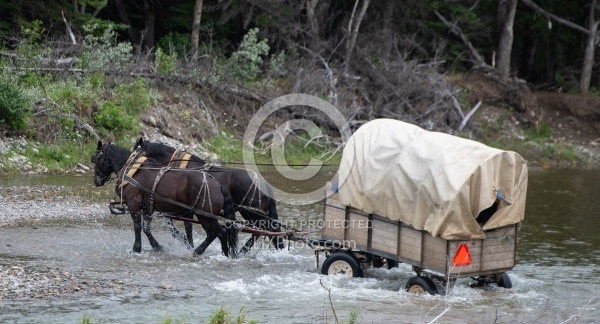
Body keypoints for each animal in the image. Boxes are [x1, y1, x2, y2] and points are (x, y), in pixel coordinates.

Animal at [90, 140, 238, 256]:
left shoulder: (134, 205)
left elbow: (137, 227)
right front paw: (157, 246)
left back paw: (217, 253)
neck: (132, 170)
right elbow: (146, 228)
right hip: (203, 215)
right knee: (213, 234)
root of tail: (218, 185)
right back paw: (202, 251)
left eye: (96, 159)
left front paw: (136, 248)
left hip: (205, 215)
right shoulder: (147, 207)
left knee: (221, 233)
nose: (96, 181)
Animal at [135, 137, 284, 251]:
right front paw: (188, 244)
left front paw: (186, 243)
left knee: (265, 229)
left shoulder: (183, 209)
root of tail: (264, 183)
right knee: (264, 230)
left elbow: (183, 228)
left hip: (251, 211)